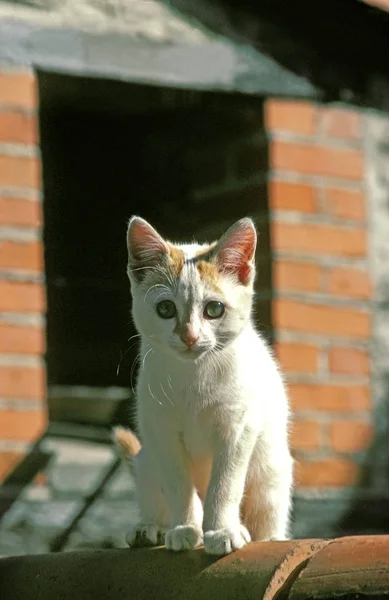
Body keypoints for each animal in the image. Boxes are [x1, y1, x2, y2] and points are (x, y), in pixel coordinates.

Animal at [113, 213, 292, 556]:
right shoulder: (161, 430)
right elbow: (178, 486)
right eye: (165, 309)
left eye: (214, 309)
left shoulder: (239, 427)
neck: (194, 376)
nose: (190, 337)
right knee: (154, 494)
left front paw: (222, 530)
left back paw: (267, 537)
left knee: (267, 516)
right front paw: (185, 528)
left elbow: (224, 485)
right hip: (147, 461)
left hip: (272, 471)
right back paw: (149, 528)